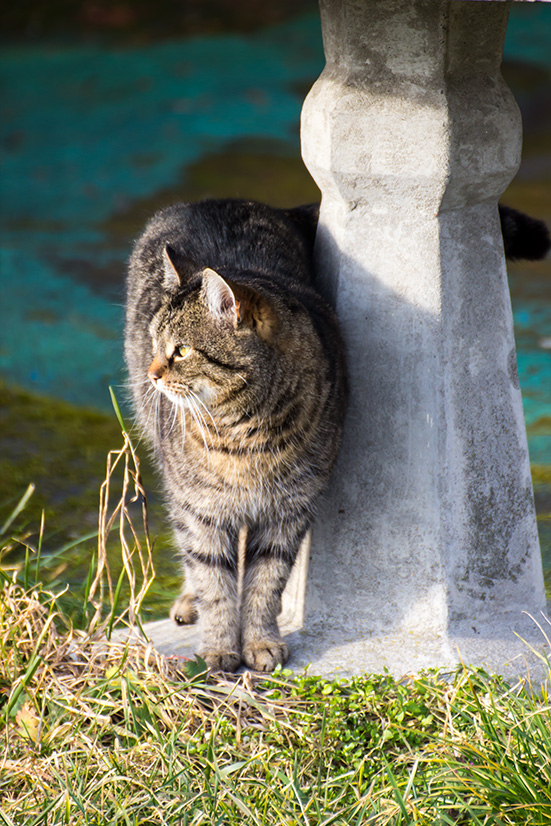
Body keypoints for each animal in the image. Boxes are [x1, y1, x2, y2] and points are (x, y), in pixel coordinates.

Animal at [123, 198, 548, 668]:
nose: (152, 373)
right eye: (155, 341)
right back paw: (189, 600)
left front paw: (259, 641)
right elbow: (213, 579)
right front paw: (218, 646)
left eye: (181, 350)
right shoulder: (198, 507)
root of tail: (224, 200)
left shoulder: (289, 510)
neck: (242, 433)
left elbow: (264, 583)